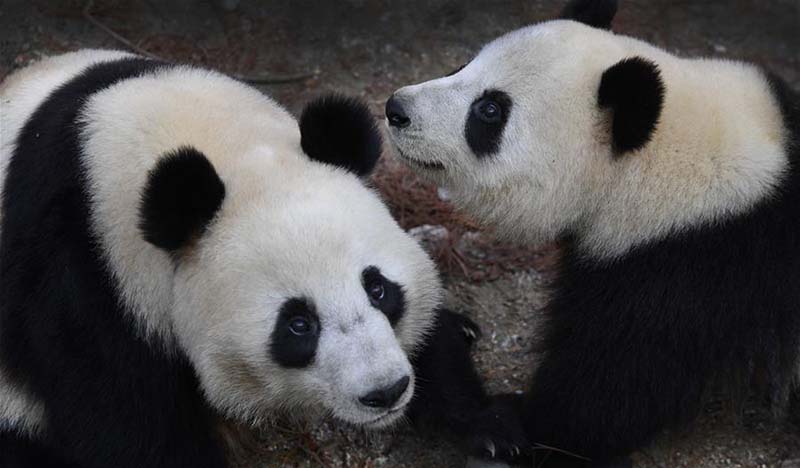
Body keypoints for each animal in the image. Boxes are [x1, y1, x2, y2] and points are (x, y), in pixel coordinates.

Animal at [0, 50, 488, 468]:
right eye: (298, 324)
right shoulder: (85, 271)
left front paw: (485, 421)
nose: (385, 391)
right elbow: (123, 421)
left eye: (378, 288)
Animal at [384, 0, 796, 466]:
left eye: (489, 111)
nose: (396, 110)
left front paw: (504, 423)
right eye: (463, 64)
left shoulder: (695, 263)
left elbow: (604, 395)